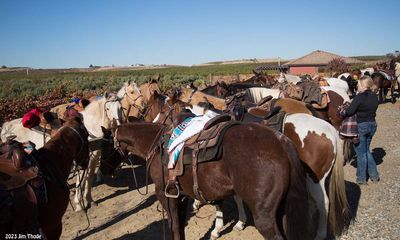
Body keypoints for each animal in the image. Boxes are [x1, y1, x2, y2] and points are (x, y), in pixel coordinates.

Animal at [114, 123, 310, 239]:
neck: (155, 145)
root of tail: (282, 143)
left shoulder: (164, 194)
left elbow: (174, 225)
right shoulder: (181, 196)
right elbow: (180, 225)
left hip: (265, 218)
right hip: (282, 211)